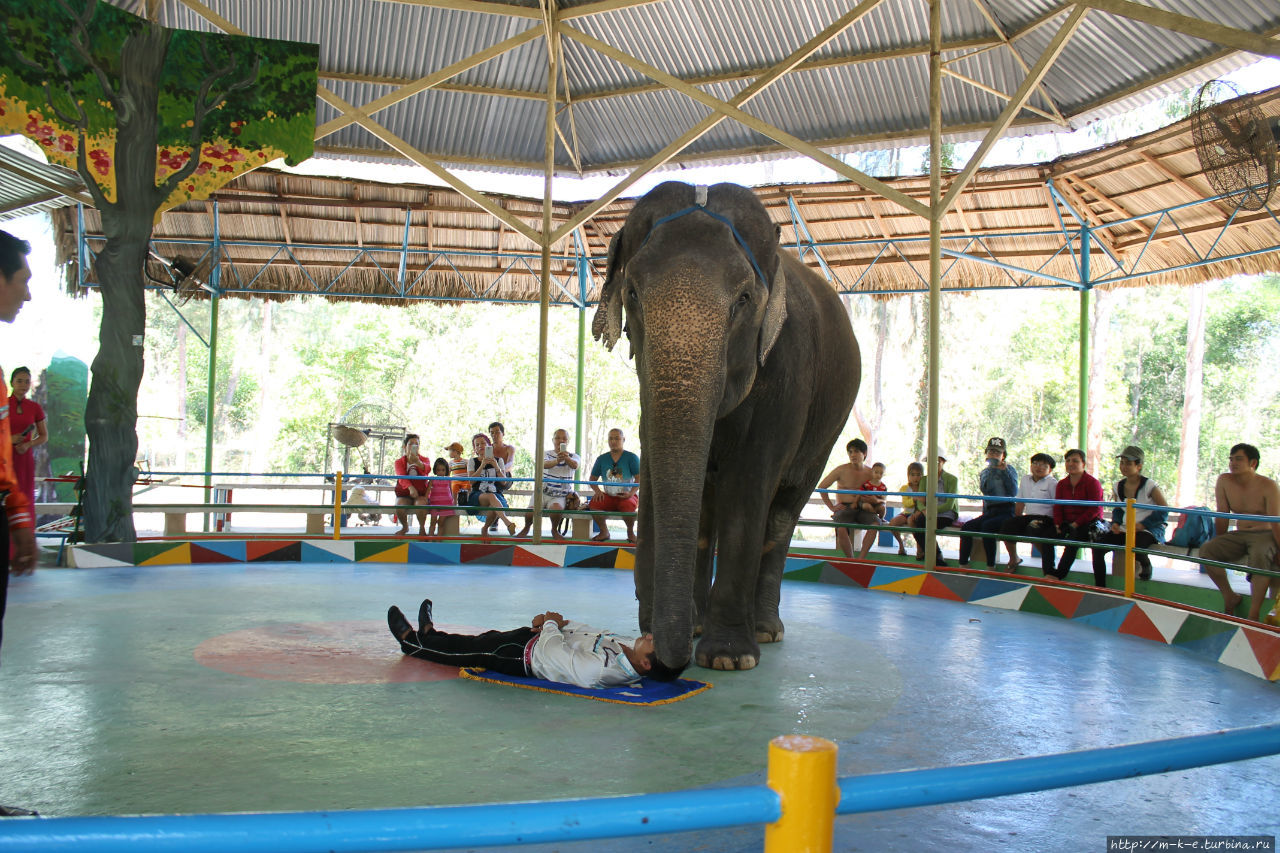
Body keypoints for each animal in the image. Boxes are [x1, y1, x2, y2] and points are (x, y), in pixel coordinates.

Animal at [591, 180, 860, 671]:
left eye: (744, 300)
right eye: (633, 293)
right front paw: (676, 633)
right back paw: (702, 624)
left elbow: (750, 480)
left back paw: (765, 630)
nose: (659, 655)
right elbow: (660, 468)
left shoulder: (787, 369)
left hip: (829, 428)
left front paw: (729, 658)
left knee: (782, 512)